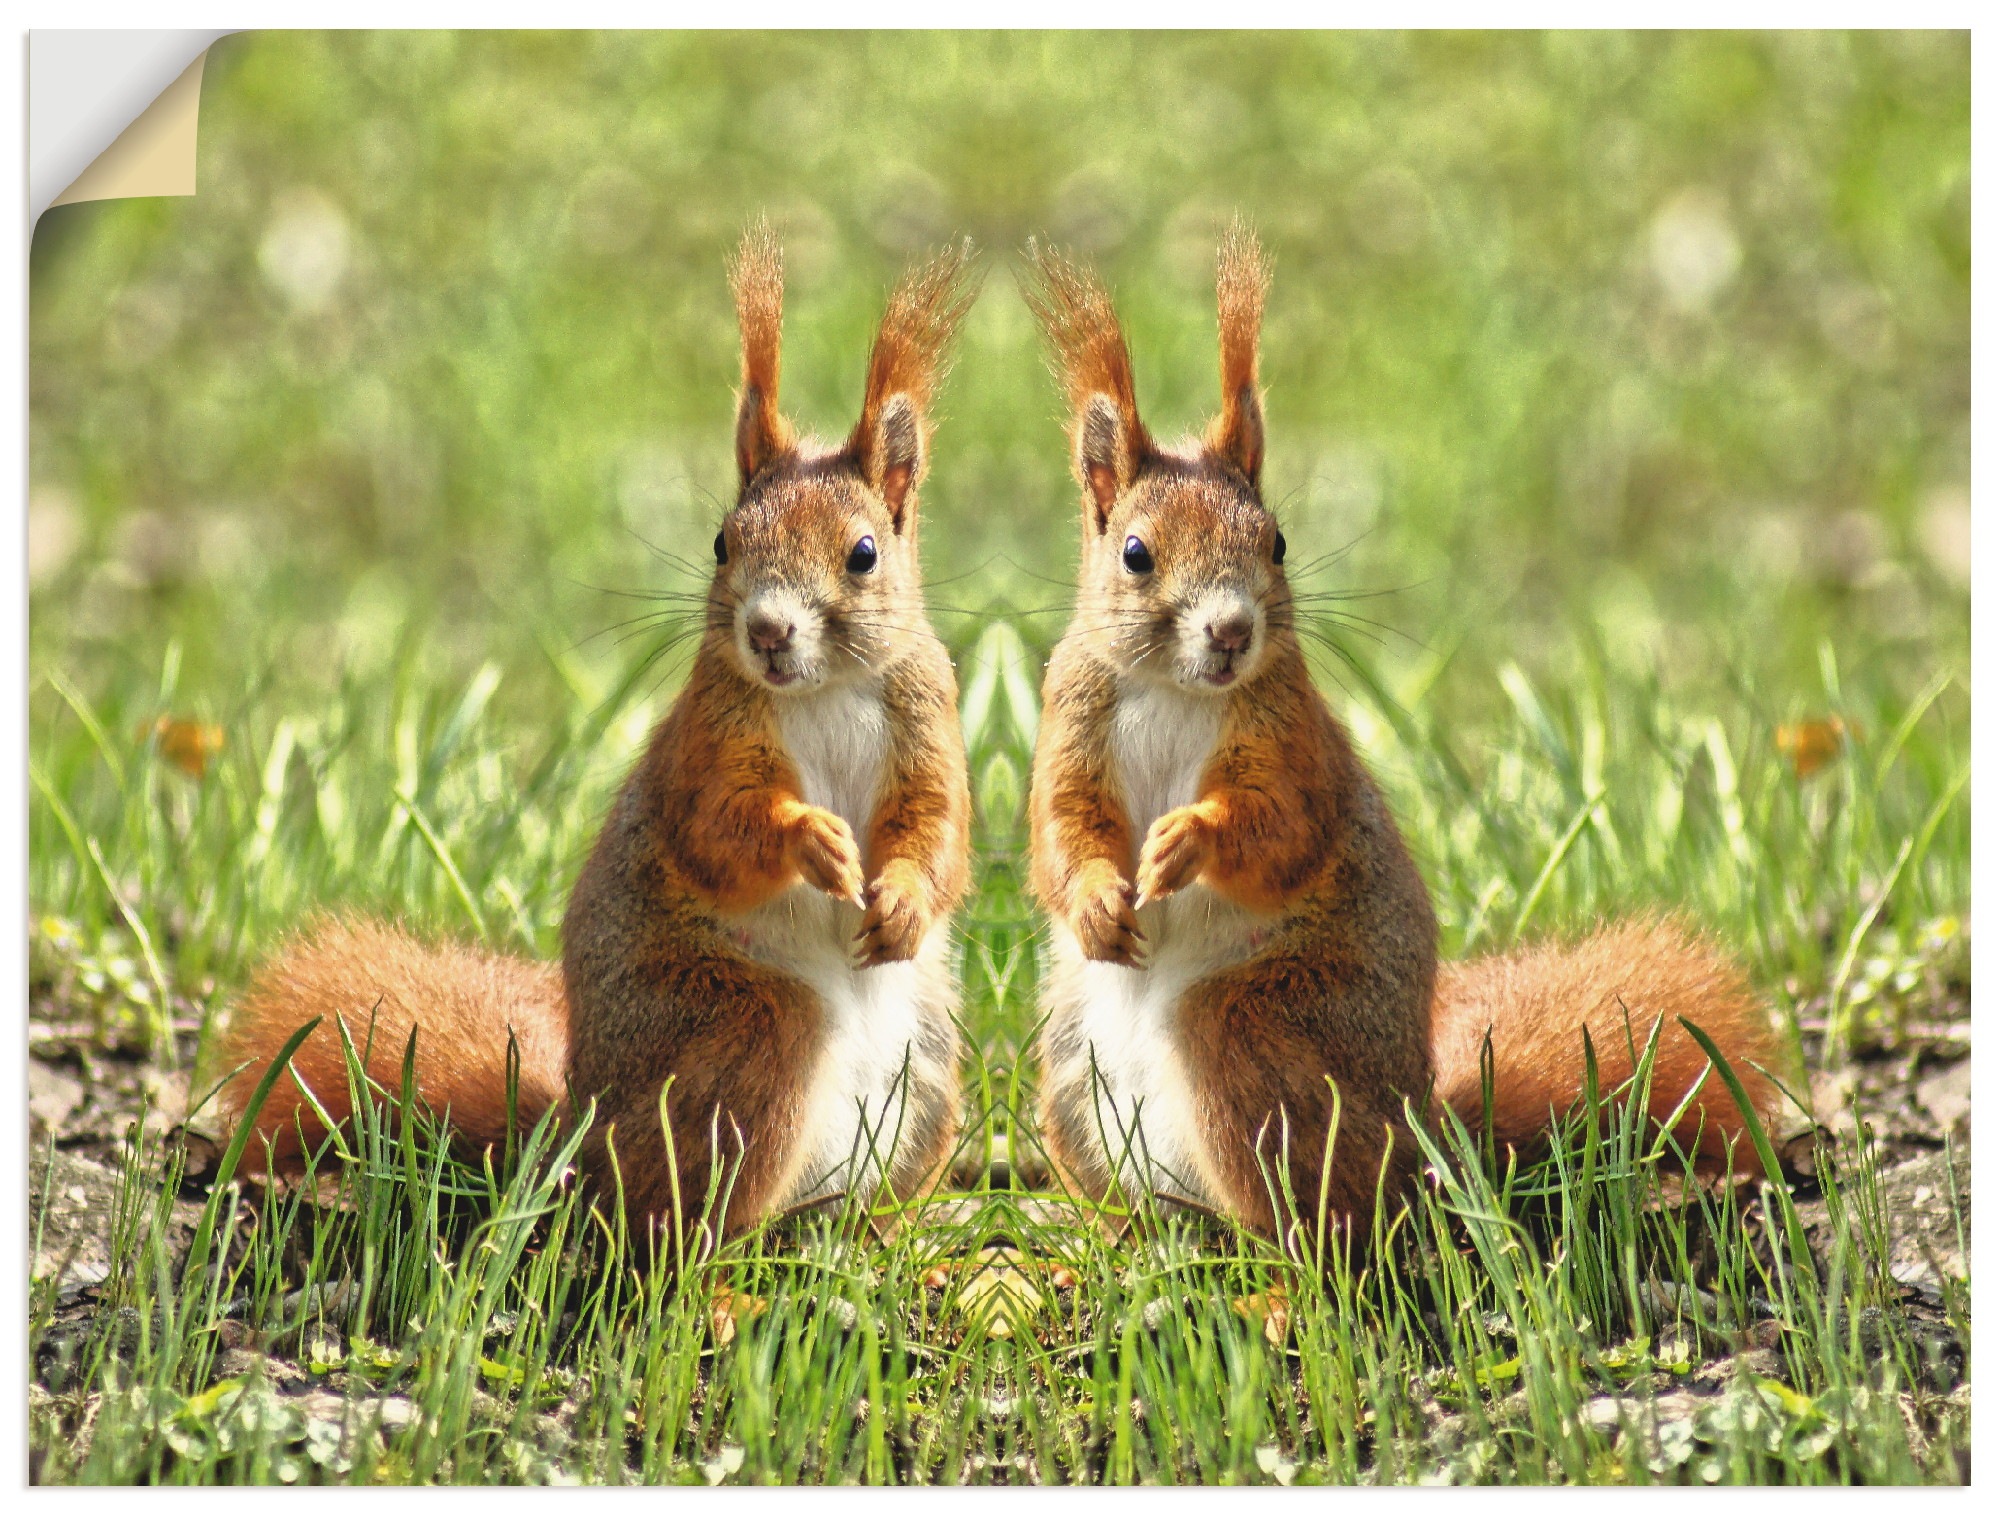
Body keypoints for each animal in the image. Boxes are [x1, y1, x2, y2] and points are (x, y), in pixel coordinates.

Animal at [217, 224, 979, 1243]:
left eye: (863, 554)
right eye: (722, 542)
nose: (768, 631)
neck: (829, 689)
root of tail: (574, 1140)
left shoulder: (929, 722)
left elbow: (939, 835)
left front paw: (898, 900)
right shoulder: (707, 740)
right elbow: (713, 828)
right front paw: (808, 840)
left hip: (928, 1068)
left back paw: (877, 1236)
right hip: (745, 1034)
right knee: (676, 1217)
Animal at [1020, 225, 1787, 1241]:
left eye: (1277, 543)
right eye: (1136, 555)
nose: (1231, 631)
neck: (1170, 689)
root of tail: (1426, 1137)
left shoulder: (1292, 740)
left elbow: (1286, 829)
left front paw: (1190, 839)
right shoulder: (1070, 722)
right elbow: (1059, 836)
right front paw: (1100, 900)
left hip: (1255, 1033)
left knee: (1323, 1214)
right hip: (1072, 1070)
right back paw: (1125, 1235)